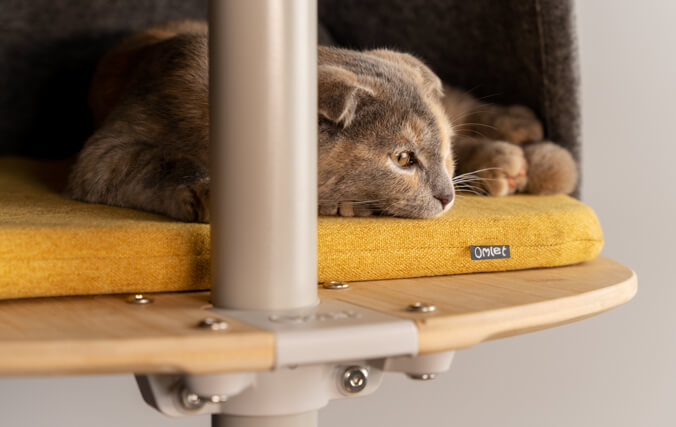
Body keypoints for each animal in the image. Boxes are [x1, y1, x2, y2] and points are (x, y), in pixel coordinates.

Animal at [67, 21, 576, 222]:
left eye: (443, 154)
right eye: (403, 159)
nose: (447, 195)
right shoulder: (106, 150)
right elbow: (158, 161)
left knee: (465, 104)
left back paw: (524, 142)